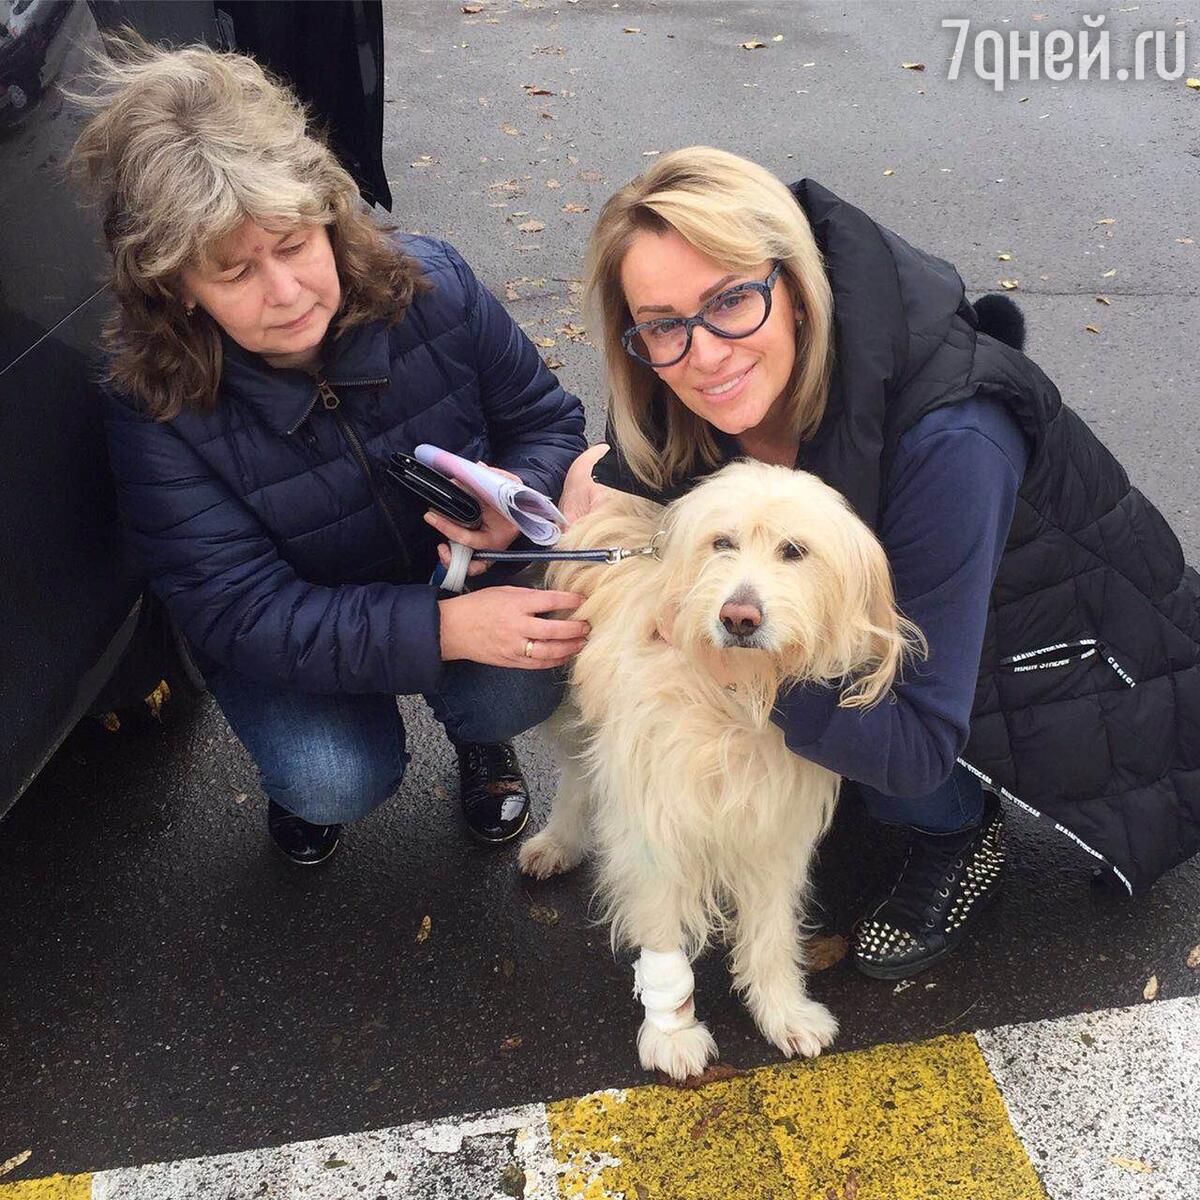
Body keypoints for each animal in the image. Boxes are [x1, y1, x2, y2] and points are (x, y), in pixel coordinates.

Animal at [518, 456, 916, 1080]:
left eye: (794, 551)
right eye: (722, 543)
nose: (739, 617)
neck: (738, 699)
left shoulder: (774, 826)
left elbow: (773, 929)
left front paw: (783, 1010)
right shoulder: (655, 824)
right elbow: (662, 933)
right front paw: (673, 1033)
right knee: (579, 775)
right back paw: (557, 841)